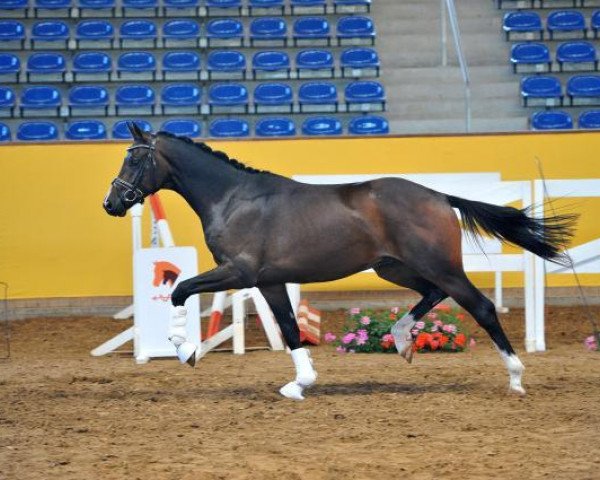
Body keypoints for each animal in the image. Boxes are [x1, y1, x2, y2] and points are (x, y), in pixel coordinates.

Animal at [103, 122, 576, 400]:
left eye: (134, 157)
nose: (111, 203)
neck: (234, 199)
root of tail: (439, 196)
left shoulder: (238, 272)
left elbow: (180, 291)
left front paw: (185, 349)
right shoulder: (269, 281)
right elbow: (290, 329)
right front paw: (299, 383)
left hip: (439, 265)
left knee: (481, 307)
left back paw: (515, 377)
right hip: (396, 266)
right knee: (432, 295)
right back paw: (402, 341)